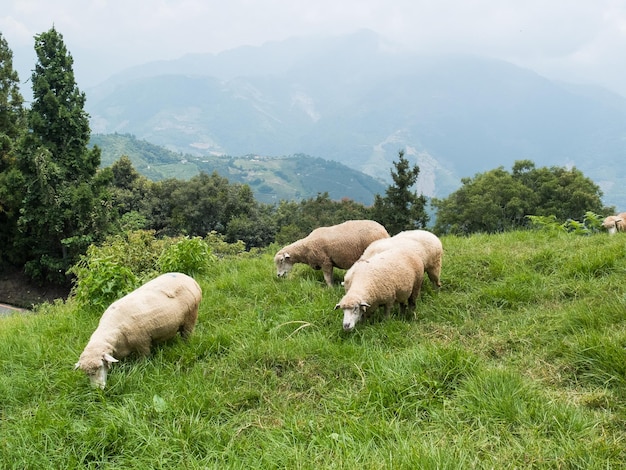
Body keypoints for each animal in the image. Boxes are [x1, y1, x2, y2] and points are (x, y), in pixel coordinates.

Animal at [73, 272, 201, 390]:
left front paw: (142, 368)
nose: (97, 389)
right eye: (86, 374)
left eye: (99, 367)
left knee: (187, 334)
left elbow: (144, 359)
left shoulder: (142, 342)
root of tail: (190, 279)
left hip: (191, 316)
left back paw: (186, 344)